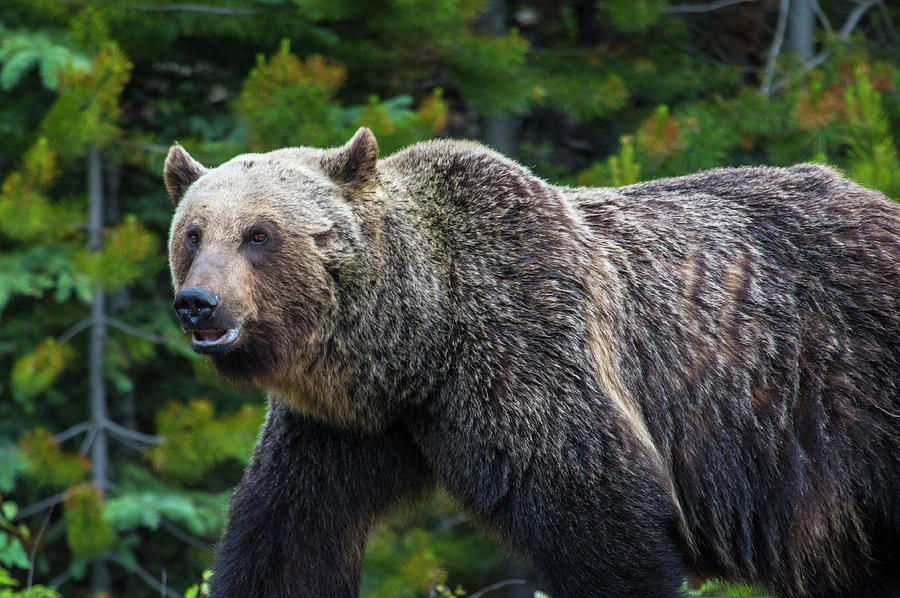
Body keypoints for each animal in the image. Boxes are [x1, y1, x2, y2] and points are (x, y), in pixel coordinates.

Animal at [163, 130, 900, 598]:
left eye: (259, 234)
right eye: (193, 233)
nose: (197, 303)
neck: (417, 347)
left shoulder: (530, 355)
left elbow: (606, 523)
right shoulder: (340, 427)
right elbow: (287, 536)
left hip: (849, 399)